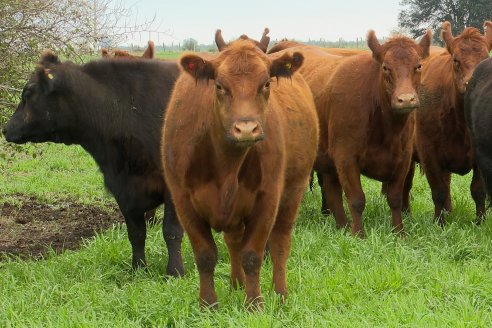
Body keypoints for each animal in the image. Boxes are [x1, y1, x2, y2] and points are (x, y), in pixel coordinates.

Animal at [2, 51, 184, 276]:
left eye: (28, 93)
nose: (5, 128)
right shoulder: (123, 189)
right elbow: (136, 233)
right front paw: (138, 270)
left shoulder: (173, 186)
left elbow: (171, 231)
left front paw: (175, 271)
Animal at [161, 39, 320, 308]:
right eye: (219, 85)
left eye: (266, 83)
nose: (246, 129)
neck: (226, 164)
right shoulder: (183, 202)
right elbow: (205, 255)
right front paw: (208, 305)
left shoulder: (267, 200)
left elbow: (252, 255)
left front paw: (254, 304)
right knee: (233, 241)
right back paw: (236, 284)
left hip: (293, 190)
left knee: (280, 242)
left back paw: (280, 295)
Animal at [314, 30, 432, 236]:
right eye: (385, 67)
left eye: (418, 66)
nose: (406, 99)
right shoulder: (345, 158)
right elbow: (356, 199)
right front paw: (358, 235)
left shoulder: (403, 159)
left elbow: (395, 198)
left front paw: (399, 232)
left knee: (332, 191)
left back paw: (342, 226)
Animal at [408, 21, 492, 226]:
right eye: (455, 60)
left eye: (485, 58)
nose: (469, 84)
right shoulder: (429, 153)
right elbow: (438, 190)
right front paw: (439, 223)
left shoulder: (480, 155)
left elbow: (478, 190)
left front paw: (480, 221)